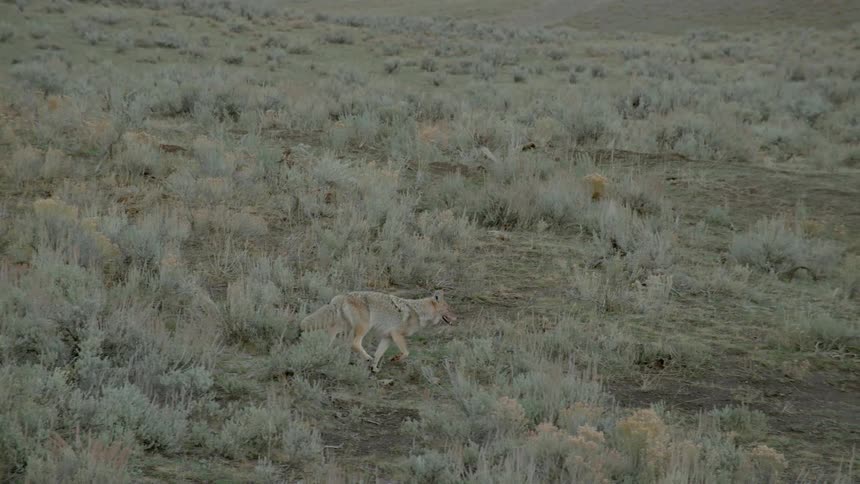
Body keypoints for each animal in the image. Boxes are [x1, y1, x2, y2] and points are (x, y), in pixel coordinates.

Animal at [299, 290, 457, 373]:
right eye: (449, 309)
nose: (457, 317)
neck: (419, 313)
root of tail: (343, 296)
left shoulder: (387, 337)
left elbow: (379, 354)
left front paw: (374, 368)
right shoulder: (396, 335)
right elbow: (406, 352)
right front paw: (395, 359)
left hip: (343, 328)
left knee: (334, 339)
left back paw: (325, 353)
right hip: (363, 328)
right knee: (354, 344)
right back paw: (365, 357)